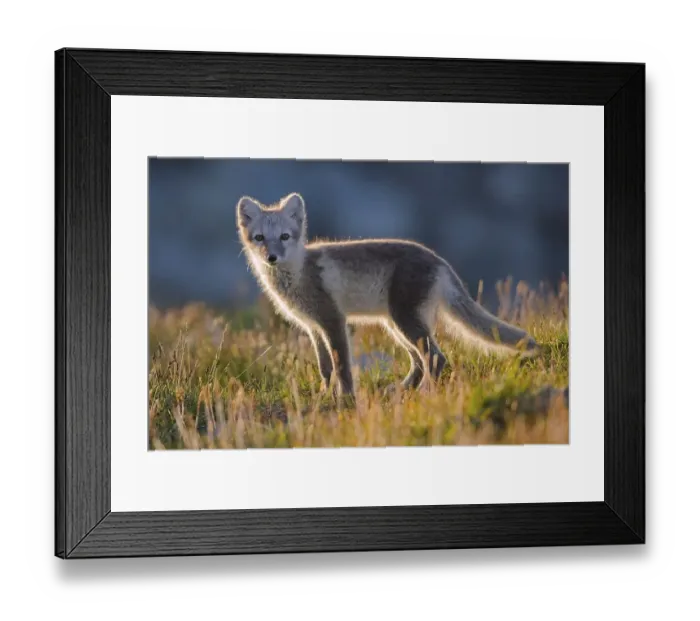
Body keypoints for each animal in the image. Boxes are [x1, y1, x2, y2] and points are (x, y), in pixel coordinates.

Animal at [236, 192, 539, 398]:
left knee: (435, 358)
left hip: (404, 321)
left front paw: (346, 399)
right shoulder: (313, 327)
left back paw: (424, 393)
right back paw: (402, 390)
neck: (299, 273)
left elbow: (342, 365)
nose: (272, 258)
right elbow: (325, 367)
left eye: (285, 237)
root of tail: (439, 260)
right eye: (260, 238)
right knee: (419, 362)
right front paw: (324, 394)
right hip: (395, 325)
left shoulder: (333, 320)